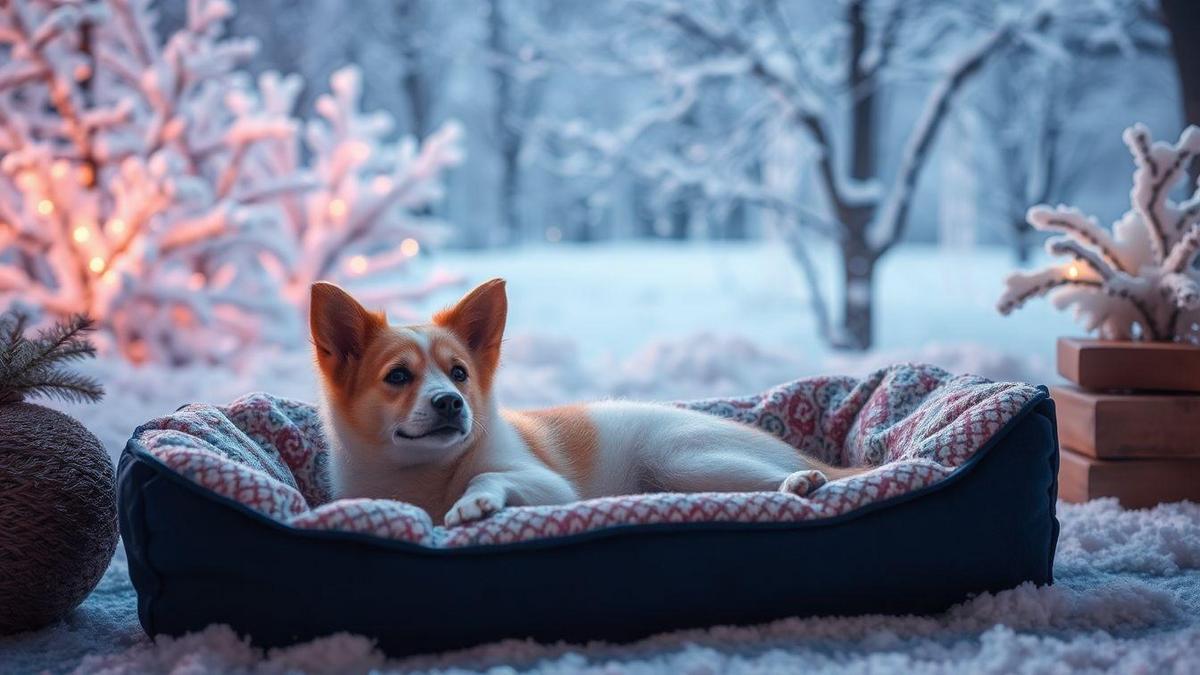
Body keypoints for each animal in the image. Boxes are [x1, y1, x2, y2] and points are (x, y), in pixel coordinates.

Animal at [304, 276, 859, 523]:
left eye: (459, 374)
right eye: (398, 376)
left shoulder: (549, 487)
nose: (451, 403)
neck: (425, 474)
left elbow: (488, 477)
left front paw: (476, 500)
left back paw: (799, 482)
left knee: (798, 480)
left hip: (686, 458)